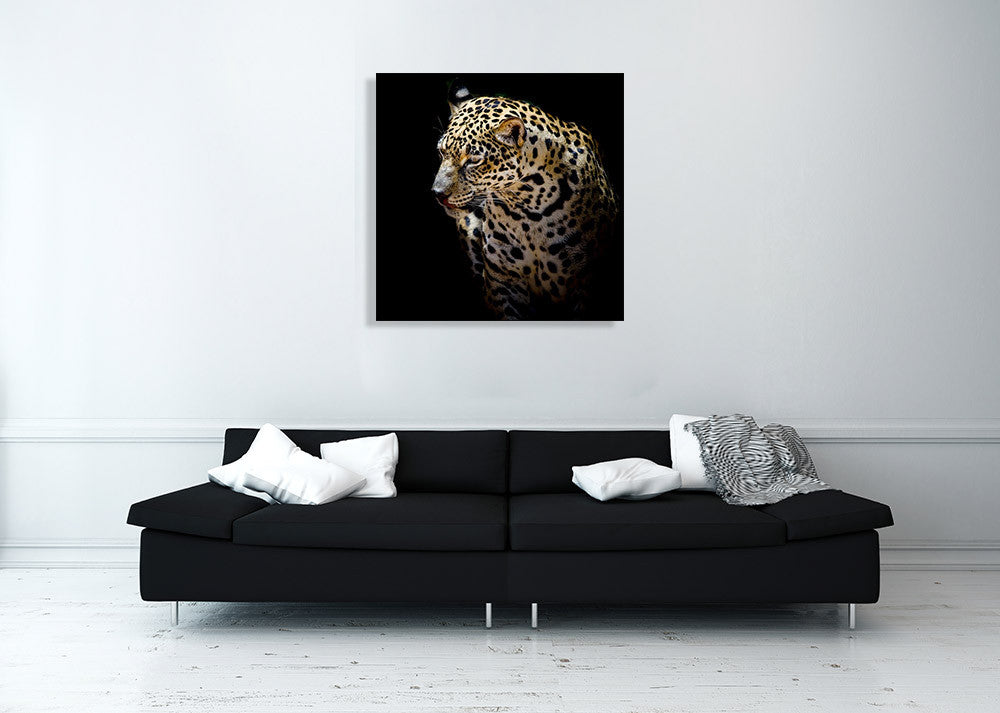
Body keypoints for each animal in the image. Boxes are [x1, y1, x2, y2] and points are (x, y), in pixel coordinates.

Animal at [432, 83, 619, 320]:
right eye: (441, 152)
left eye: (473, 160)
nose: (438, 193)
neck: (528, 210)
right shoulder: (503, 282)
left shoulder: (585, 281)